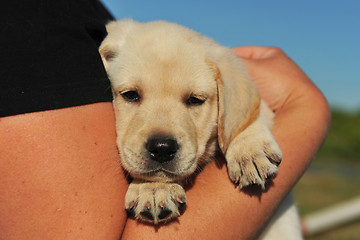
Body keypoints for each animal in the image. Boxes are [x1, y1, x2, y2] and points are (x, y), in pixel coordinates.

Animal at [98, 19, 300, 238]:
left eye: (195, 100)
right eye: (130, 95)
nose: (162, 148)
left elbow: (244, 119)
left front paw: (249, 152)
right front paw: (152, 188)